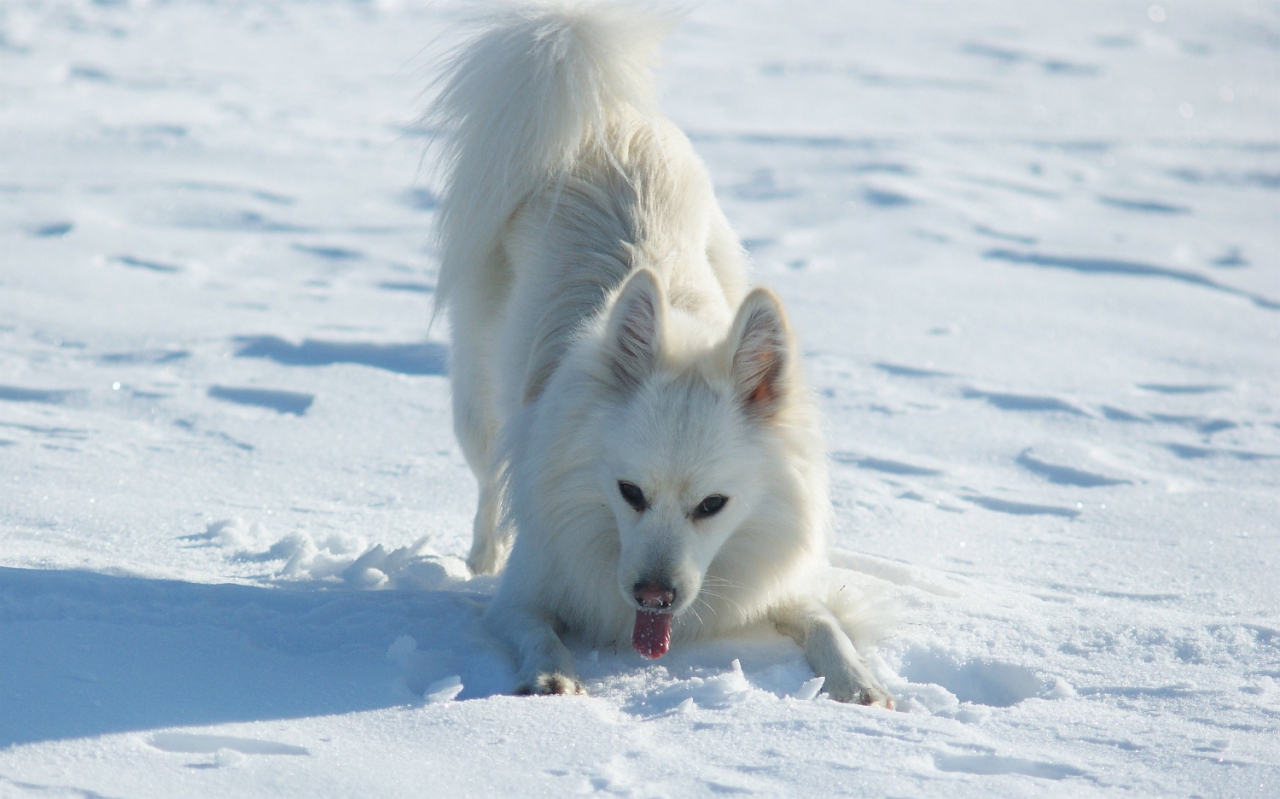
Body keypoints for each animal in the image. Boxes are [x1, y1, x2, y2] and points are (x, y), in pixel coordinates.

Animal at [430, 1, 890, 706]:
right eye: (630, 493)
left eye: (712, 506)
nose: (653, 595)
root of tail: (606, 117)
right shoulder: (528, 591)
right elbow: (537, 629)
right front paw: (553, 677)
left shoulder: (779, 580)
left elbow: (824, 622)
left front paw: (859, 684)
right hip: (478, 399)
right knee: (489, 481)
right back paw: (481, 556)